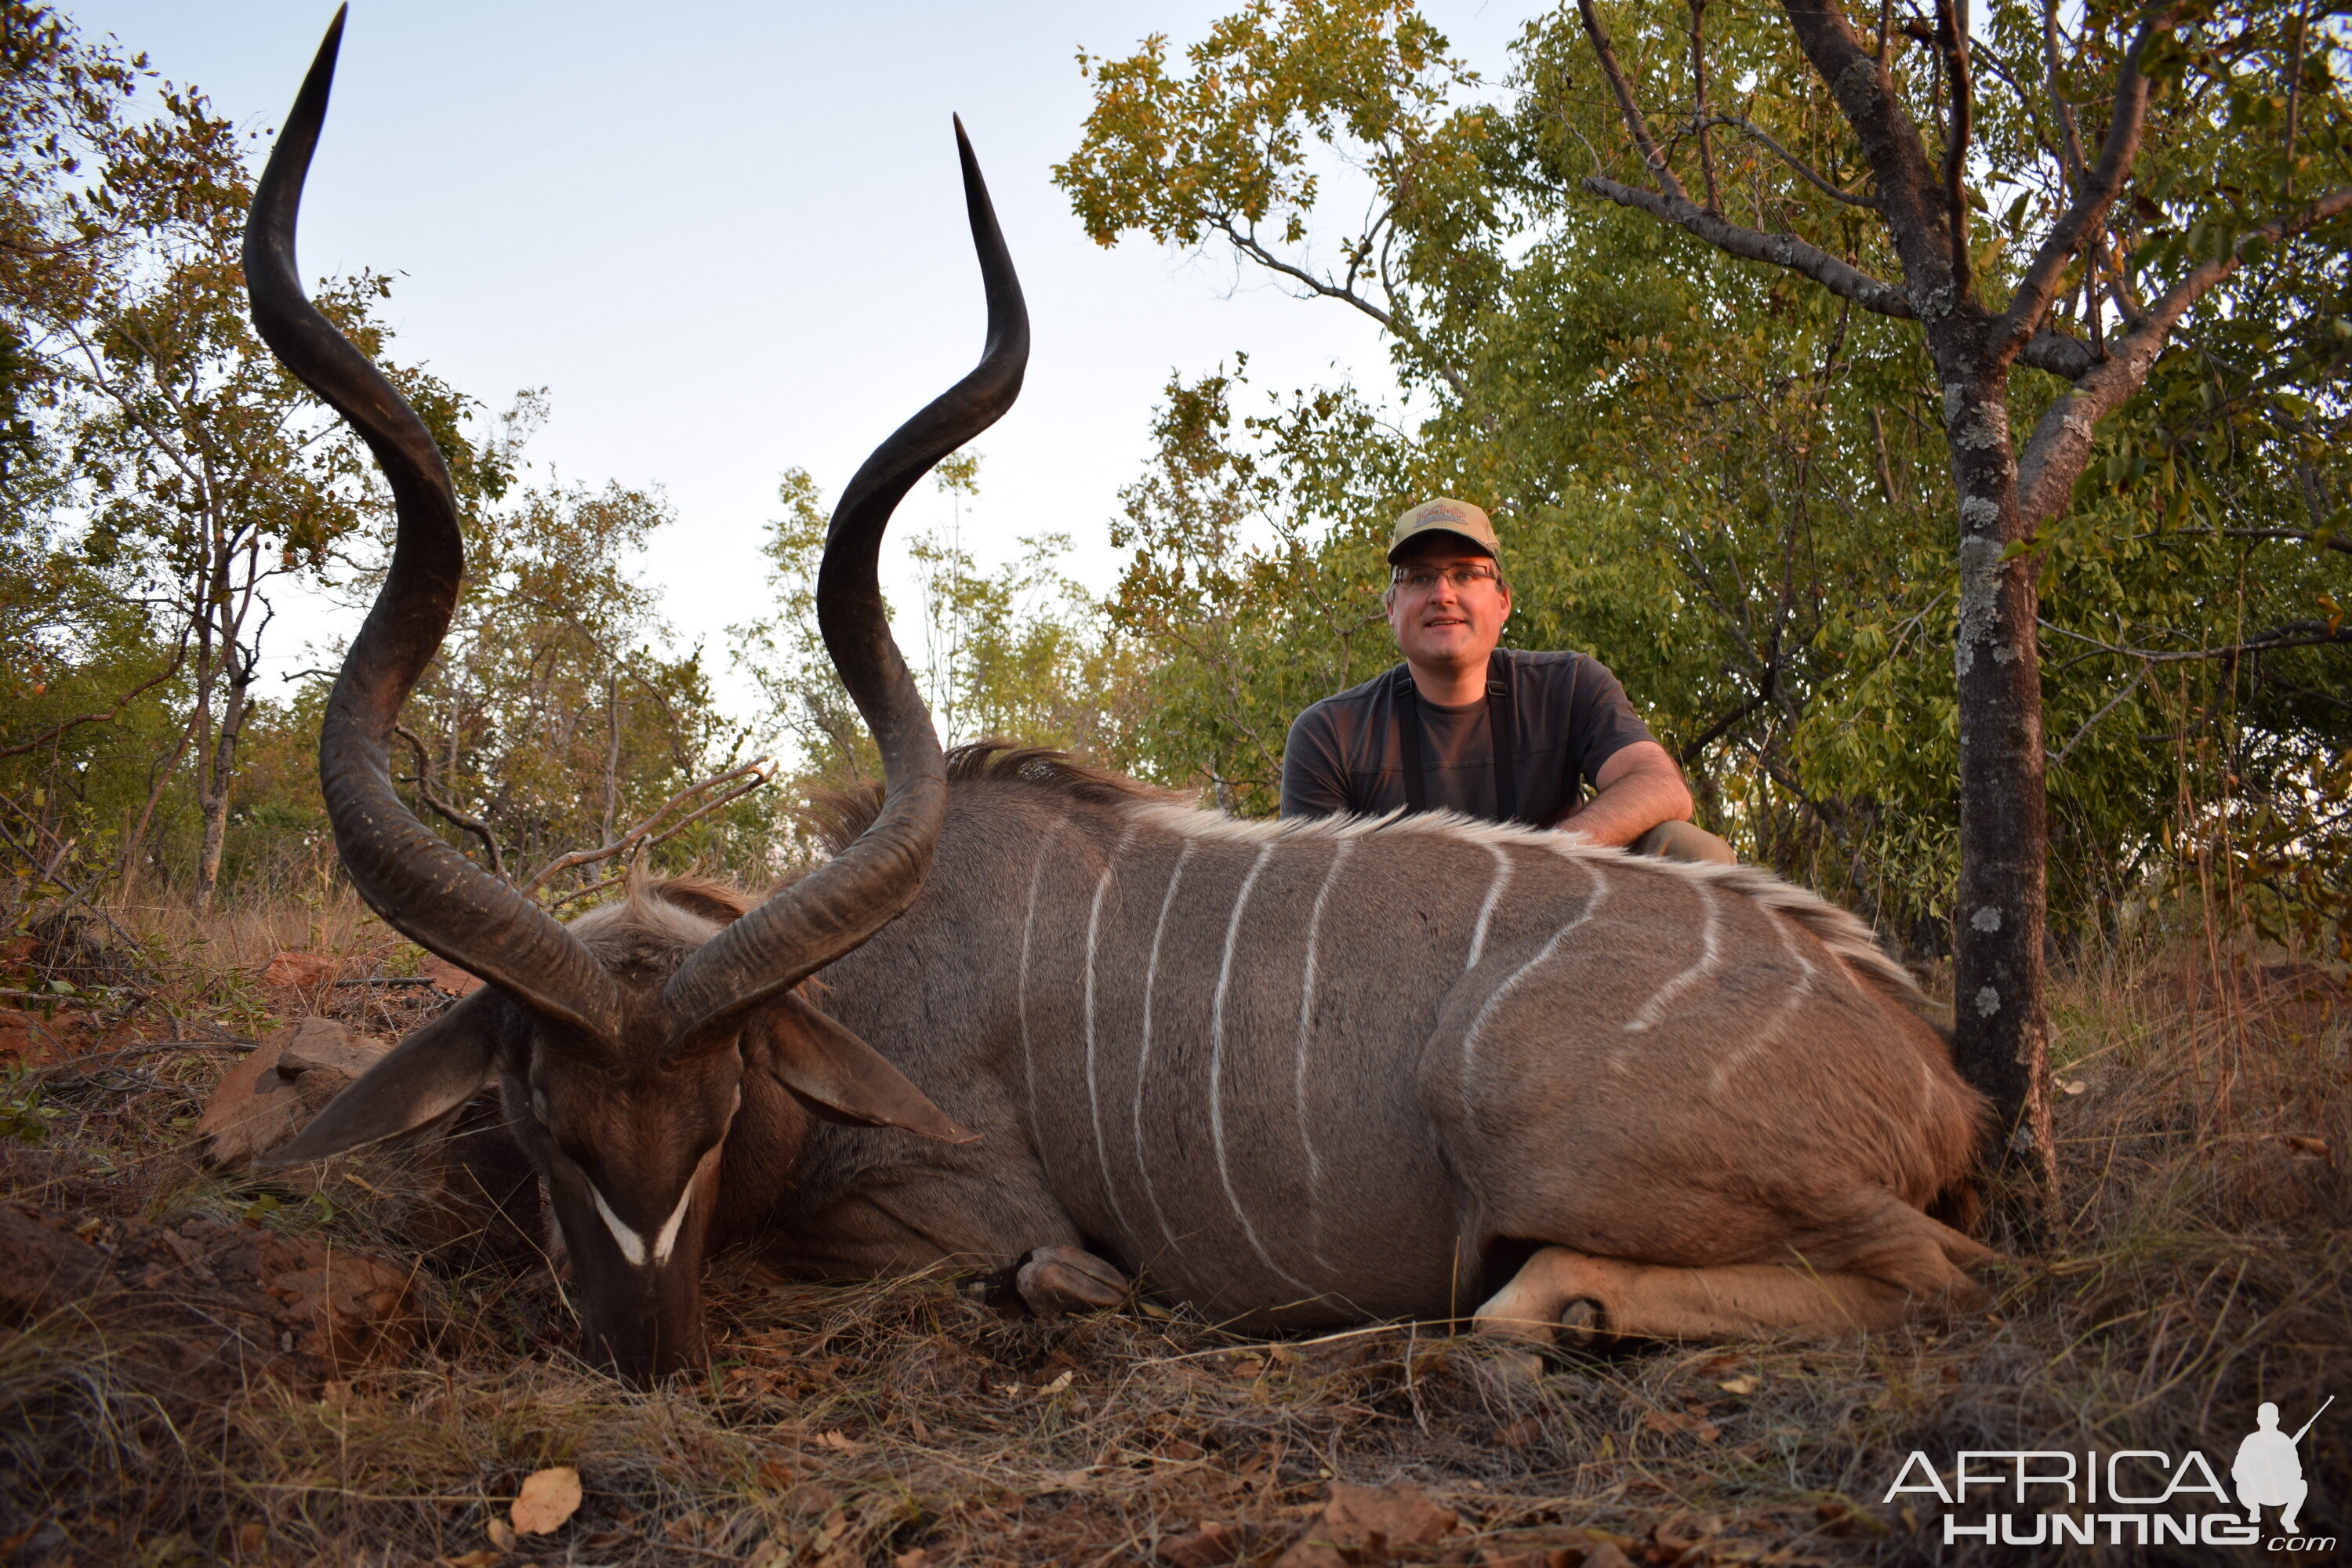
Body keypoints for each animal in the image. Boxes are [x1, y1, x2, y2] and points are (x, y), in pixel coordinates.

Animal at [252, 12, 1985, 1382]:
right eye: (547, 1119)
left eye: (719, 1113)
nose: (647, 1353)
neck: (867, 989)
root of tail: (1937, 1077)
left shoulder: (961, 1206)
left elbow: (1031, 1264)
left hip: (1533, 1122)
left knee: (1929, 1272)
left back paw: (1546, 1311)